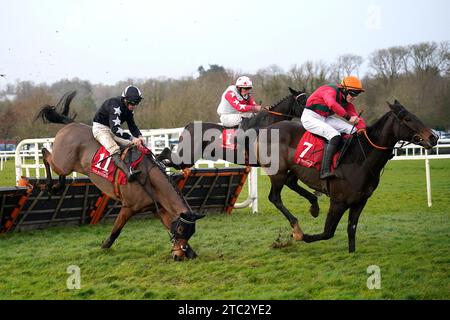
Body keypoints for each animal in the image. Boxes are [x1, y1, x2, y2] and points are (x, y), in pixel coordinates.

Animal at [36, 92, 205, 260]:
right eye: (181, 230)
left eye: (192, 232)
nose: (177, 256)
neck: (149, 179)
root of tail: (70, 125)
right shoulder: (128, 207)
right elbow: (116, 231)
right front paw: (104, 245)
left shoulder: (158, 209)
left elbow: (169, 224)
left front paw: (190, 251)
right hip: (62, 162)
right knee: (45, 153)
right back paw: (50, 185)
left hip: (65, 165)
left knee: (58, 170)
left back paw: (58, 186)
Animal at [258, 100, 438, 252]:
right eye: (407, 118)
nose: (433, 137)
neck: (361, 157)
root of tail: (266, 130)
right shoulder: (338, 202)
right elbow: (328, 233)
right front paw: (300, 235)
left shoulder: (360, 201)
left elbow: (351, 230)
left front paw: (352, 253)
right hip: (278, 172)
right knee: (275, 197)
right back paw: (296, 226)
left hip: (296, 169)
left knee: (291, 183)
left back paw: (314, 206)